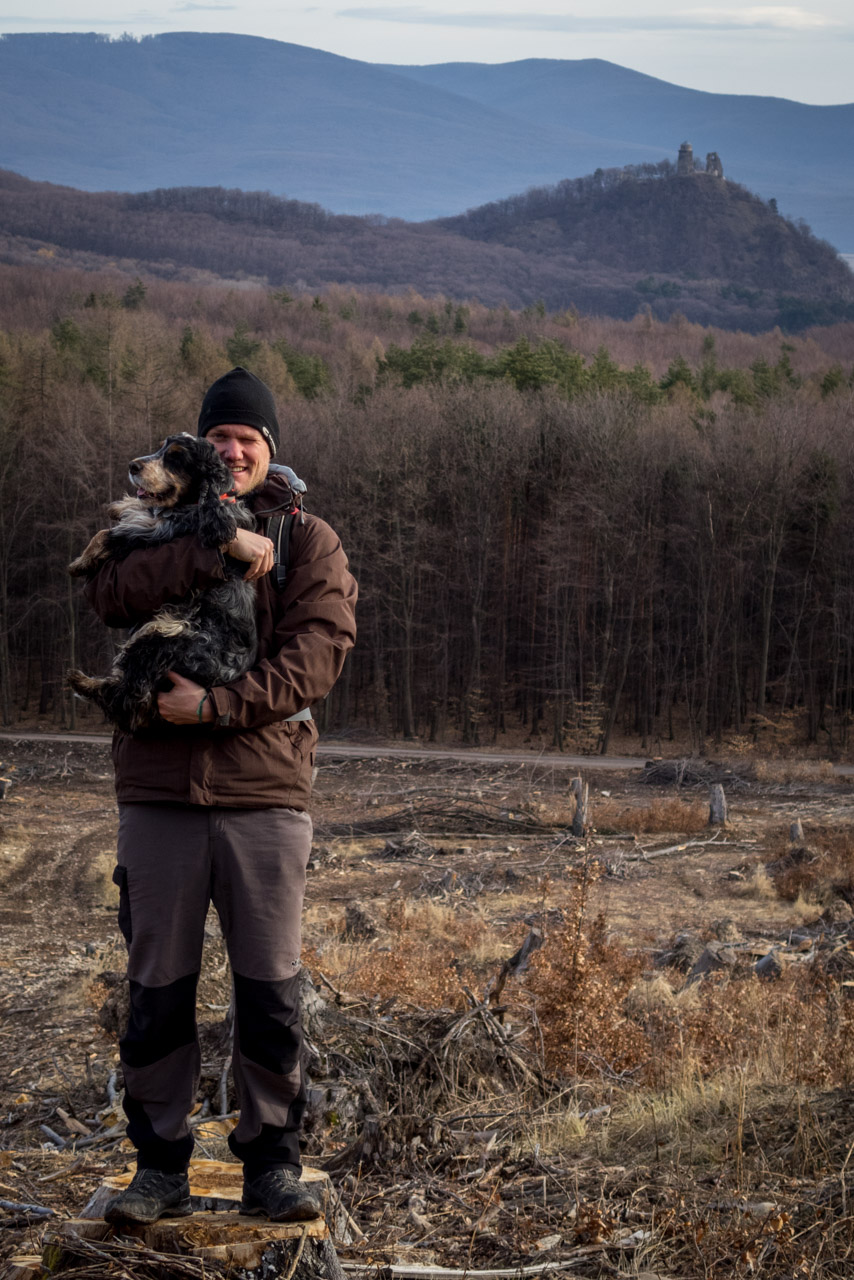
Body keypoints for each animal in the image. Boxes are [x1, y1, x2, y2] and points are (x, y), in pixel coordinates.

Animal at [68, 432, 257, 732]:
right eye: (160, 448)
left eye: (176, 457)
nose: (132, 466)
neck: (207, 502)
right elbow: (137, 510)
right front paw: (119, 506)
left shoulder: (157, 534)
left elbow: (109, 534)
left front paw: (79, 563)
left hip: (165, 633)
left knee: (128, 694)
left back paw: (82, 682)